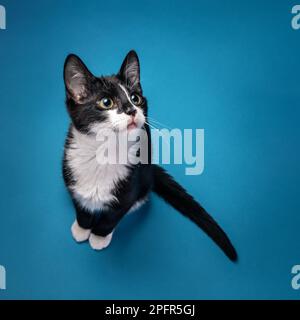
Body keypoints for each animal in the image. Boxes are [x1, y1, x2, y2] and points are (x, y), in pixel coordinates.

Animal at [62, 49, 238, 260]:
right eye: (106, 102)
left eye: (135, 98)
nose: (131, 110)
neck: (104, 154)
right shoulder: (71, 176)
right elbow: (81, 205)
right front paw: (82, 227)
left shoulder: (129, 188)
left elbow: (111, 217)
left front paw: (98, 236)